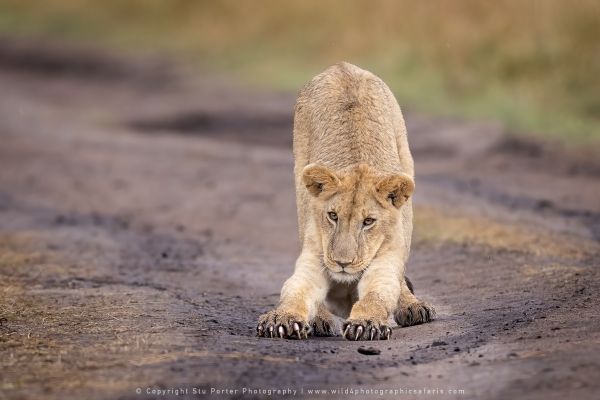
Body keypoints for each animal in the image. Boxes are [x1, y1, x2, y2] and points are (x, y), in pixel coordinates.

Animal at [255, 61, 434, 340]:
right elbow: (295, 290)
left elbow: (378, 294)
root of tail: (342, 66)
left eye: (369, 221)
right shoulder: (314, 256)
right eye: (333, 216)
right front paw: (281, 318)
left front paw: (366, 323)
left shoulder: (386, 256)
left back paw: (412, 306)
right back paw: (320, 319)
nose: (342, 263)